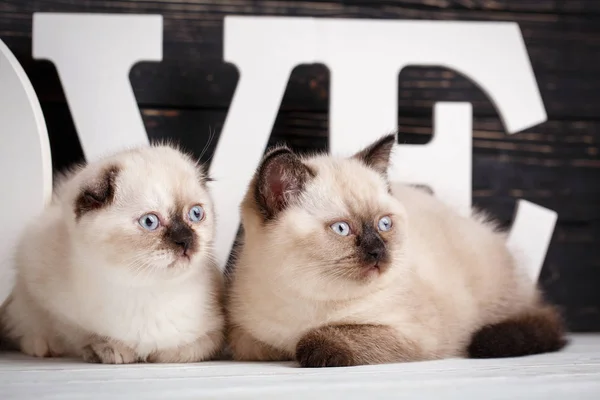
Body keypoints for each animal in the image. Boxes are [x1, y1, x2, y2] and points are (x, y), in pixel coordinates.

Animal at [0, 145, 224, 364]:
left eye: (196, 214)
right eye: (150, 222)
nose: (186, 241)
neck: (145, 290)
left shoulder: (212, 333)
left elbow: (189, 348)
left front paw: (155, 353)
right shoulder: (44, 293)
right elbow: (77, 333)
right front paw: (109, 348)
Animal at [226, 136, 568, 368]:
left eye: (384, 224)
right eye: (342, 229)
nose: (378, 251)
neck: (307, 301)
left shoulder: (414, 334)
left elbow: (318, 338)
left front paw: (308, 347)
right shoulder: (245, 338)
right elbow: (262, 345)